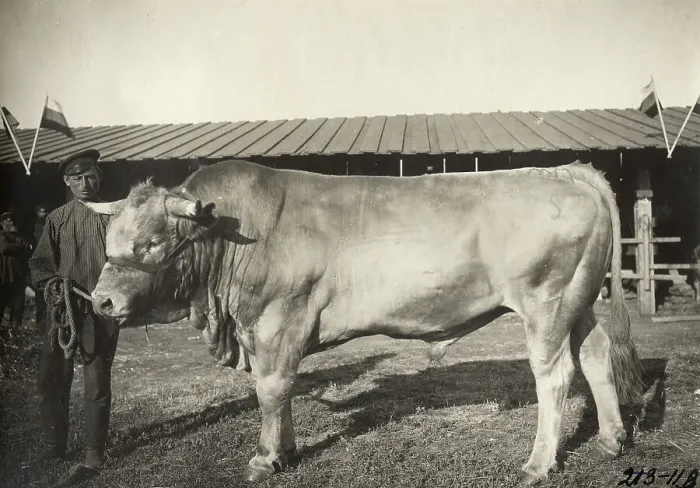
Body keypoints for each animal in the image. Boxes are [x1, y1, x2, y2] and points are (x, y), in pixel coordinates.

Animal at [85, 159, 644, 485]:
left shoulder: (278, 320)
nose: (101, 301)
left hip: (547, 304)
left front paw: (266, 457)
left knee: (555, 376)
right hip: (578, 302)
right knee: (596, 355)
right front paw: (287, 450)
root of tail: (565, 170)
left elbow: (271, 389)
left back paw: (538, 463)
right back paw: (612, 439)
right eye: (109, 238)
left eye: (150, 242)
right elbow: (285, 391)